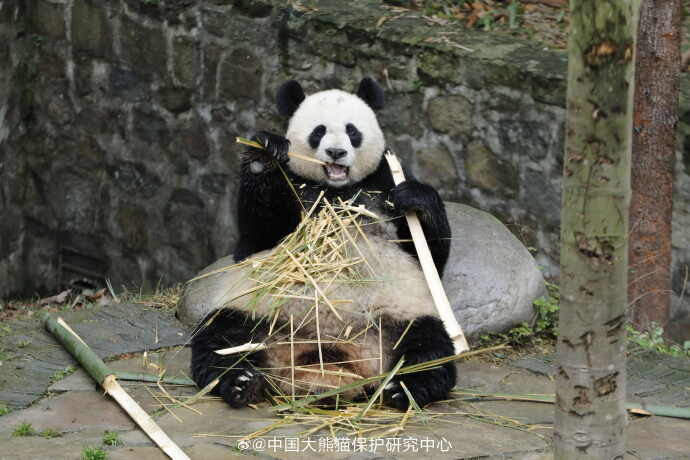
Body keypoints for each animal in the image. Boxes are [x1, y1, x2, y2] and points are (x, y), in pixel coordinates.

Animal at [190, 77, 456, 410]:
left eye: (352, 131)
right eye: (318, 131)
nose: (336, 152)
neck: (335, 189)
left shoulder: (385, 182)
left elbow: (429, 259)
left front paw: (417, 198)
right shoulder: (292, 192)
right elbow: (256, 239)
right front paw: (264, 155)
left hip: (401, 318)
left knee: (429, 349)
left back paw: (404, 390)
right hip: (254, 313)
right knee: (220, 339)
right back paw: (241, 382)